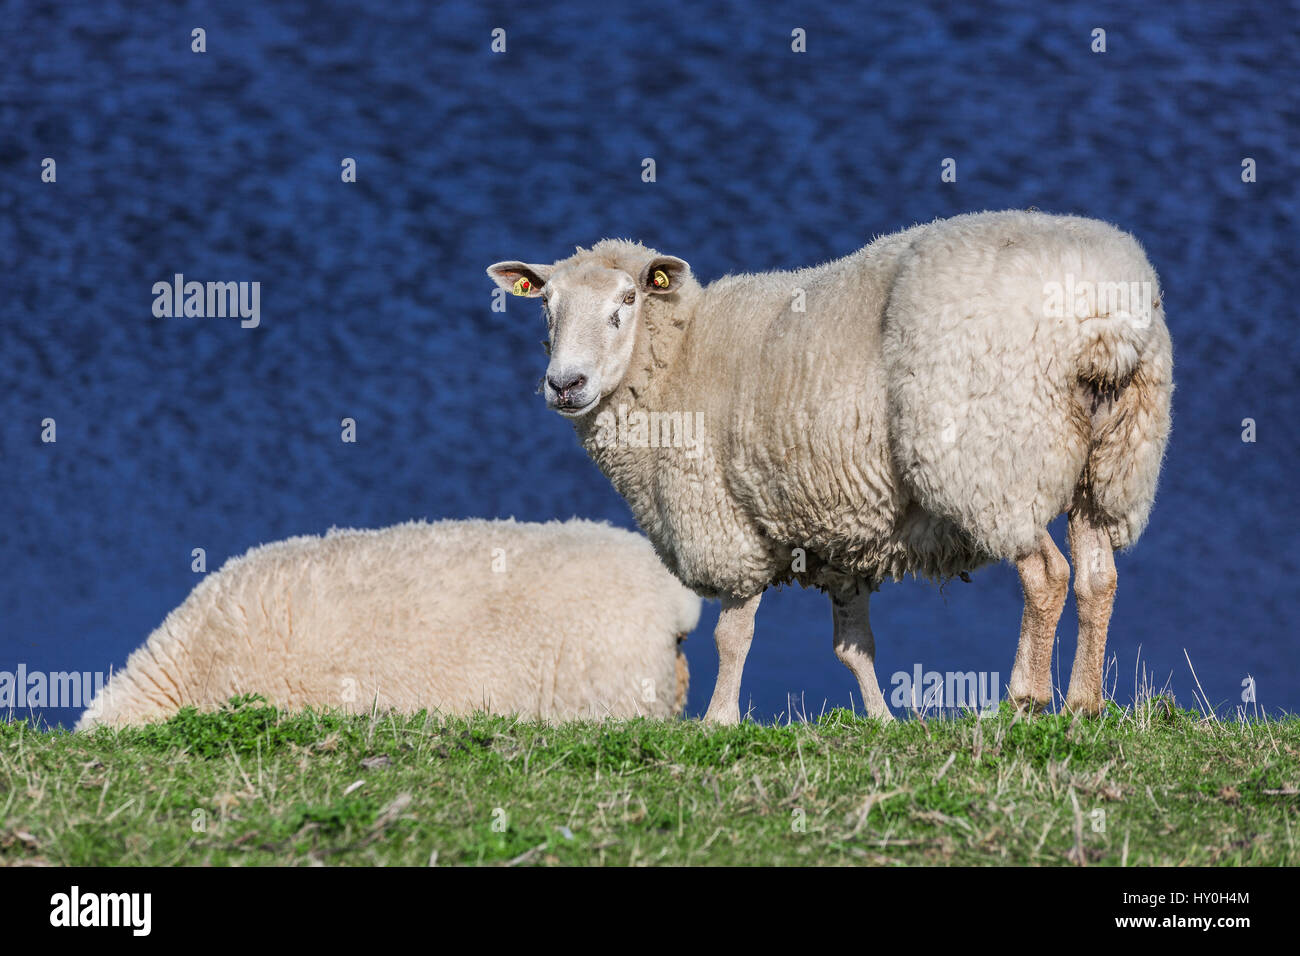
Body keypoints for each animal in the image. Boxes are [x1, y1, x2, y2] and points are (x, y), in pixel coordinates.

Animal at [488, 209, 1173, 723]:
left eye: (627, 299)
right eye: (545, 305)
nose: (564, 384)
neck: (676, 361)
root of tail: (1102, 317)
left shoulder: (727, 524)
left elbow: (732, 637)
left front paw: (718, 720)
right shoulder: (839, 539)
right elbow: (854, 648)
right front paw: (882, 721)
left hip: (996, 461)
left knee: (1047, 576)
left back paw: (1024, 699)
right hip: (1114, 461)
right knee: (1097, 577)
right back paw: (1084, 702)